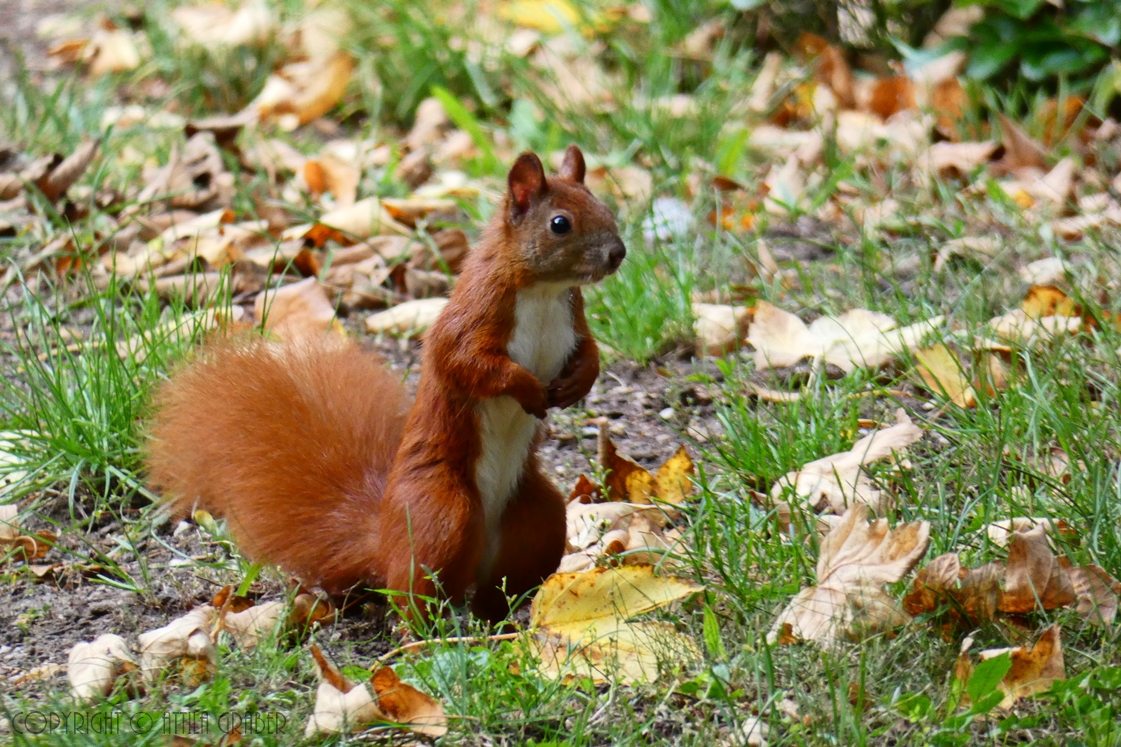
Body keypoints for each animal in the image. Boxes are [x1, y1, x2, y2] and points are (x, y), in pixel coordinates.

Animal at [144, 143, 627, 614]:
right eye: (560, 224)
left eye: (604, 207)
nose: (618, 253)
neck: (543, 291)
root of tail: (384, 539)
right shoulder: (474, 314)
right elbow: (468, 363)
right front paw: (526, 386)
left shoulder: (573, 318)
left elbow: (589, 352)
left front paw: (580, 382)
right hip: (440, 512)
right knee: (414, 590)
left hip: (539, 516)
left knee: (500, 585)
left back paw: (508, 615)